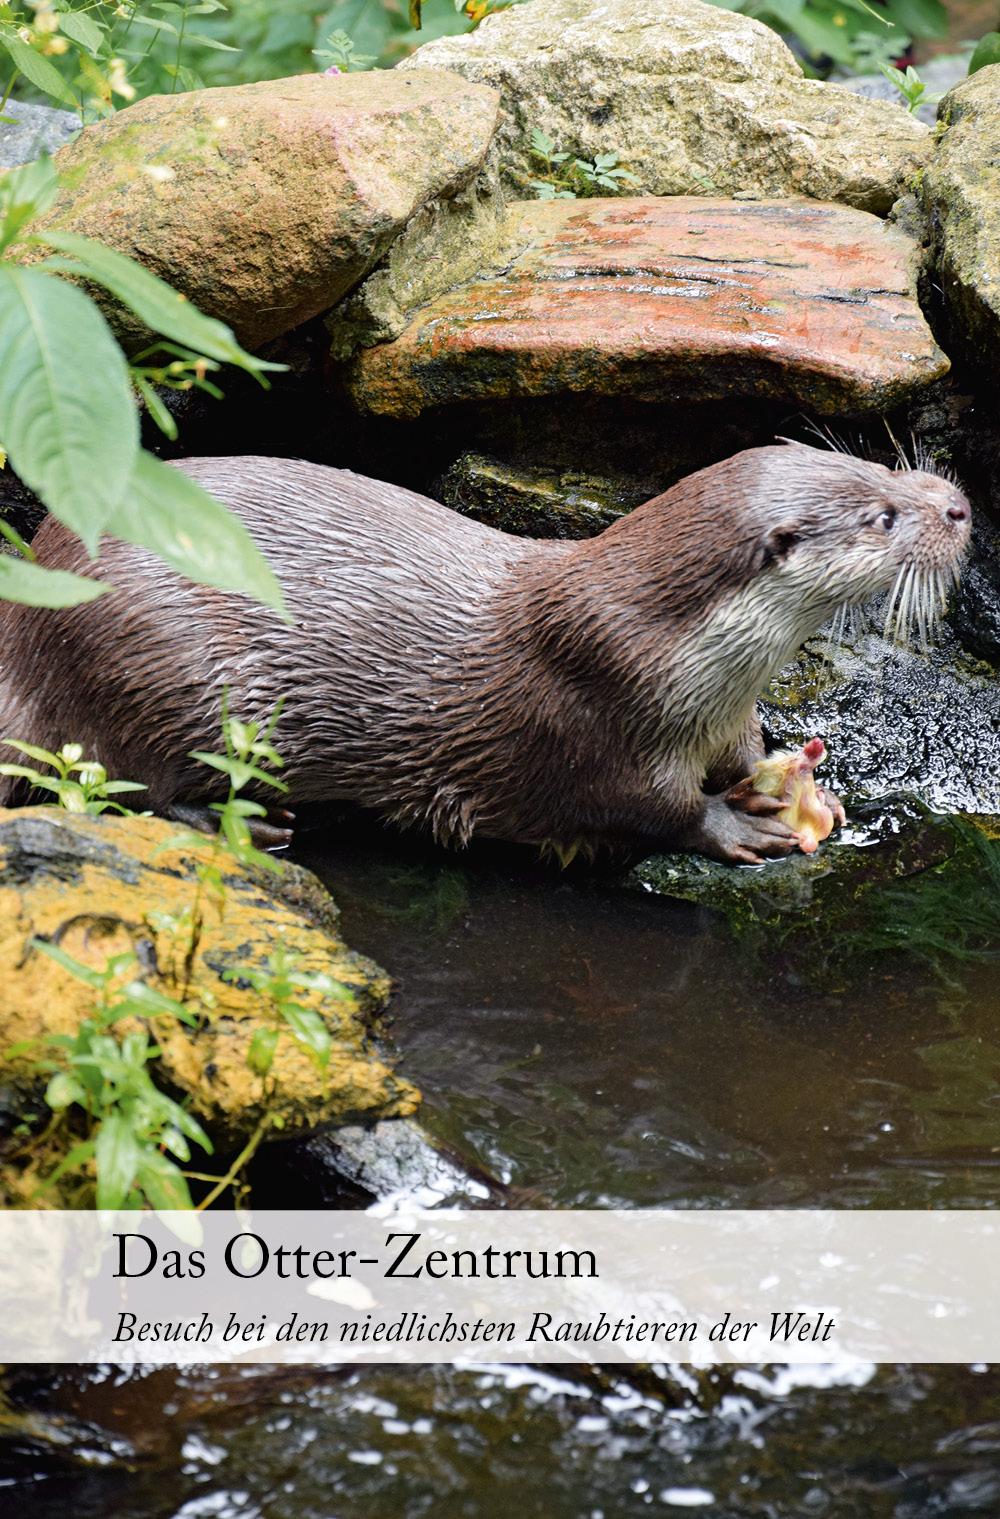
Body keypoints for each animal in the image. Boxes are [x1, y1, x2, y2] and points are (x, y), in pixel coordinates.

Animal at [0, 443, 972, 862]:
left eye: (882, 467)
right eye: (884, 517)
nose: (959, 505)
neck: (682, 655)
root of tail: (24, 630)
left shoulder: (724, 708)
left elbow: (741, 751)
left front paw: (804, 784)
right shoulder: (594, 711)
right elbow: (650, 807)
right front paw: (738, 825)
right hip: (167, 666)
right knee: (122, 784)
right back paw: (243, 823)